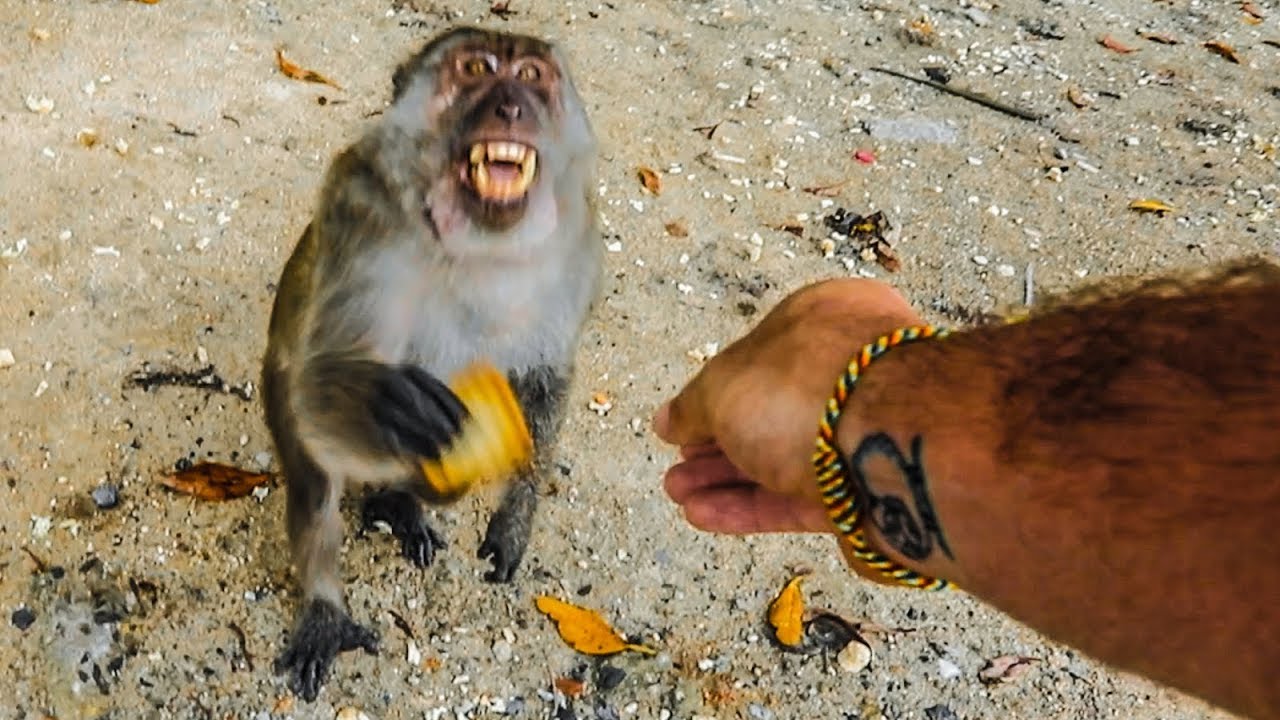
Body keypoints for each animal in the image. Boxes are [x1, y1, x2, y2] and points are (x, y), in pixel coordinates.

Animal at [259, 26, 601, 702]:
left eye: (531, 74)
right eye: (476, 70)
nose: (510, 107)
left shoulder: (575, 231)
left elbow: (546, 377)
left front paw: (513, 521)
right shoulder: (361, 214)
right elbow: (317, 383)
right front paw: (392, 409)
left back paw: (406, 502)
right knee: (313, 470)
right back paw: (327, 602)